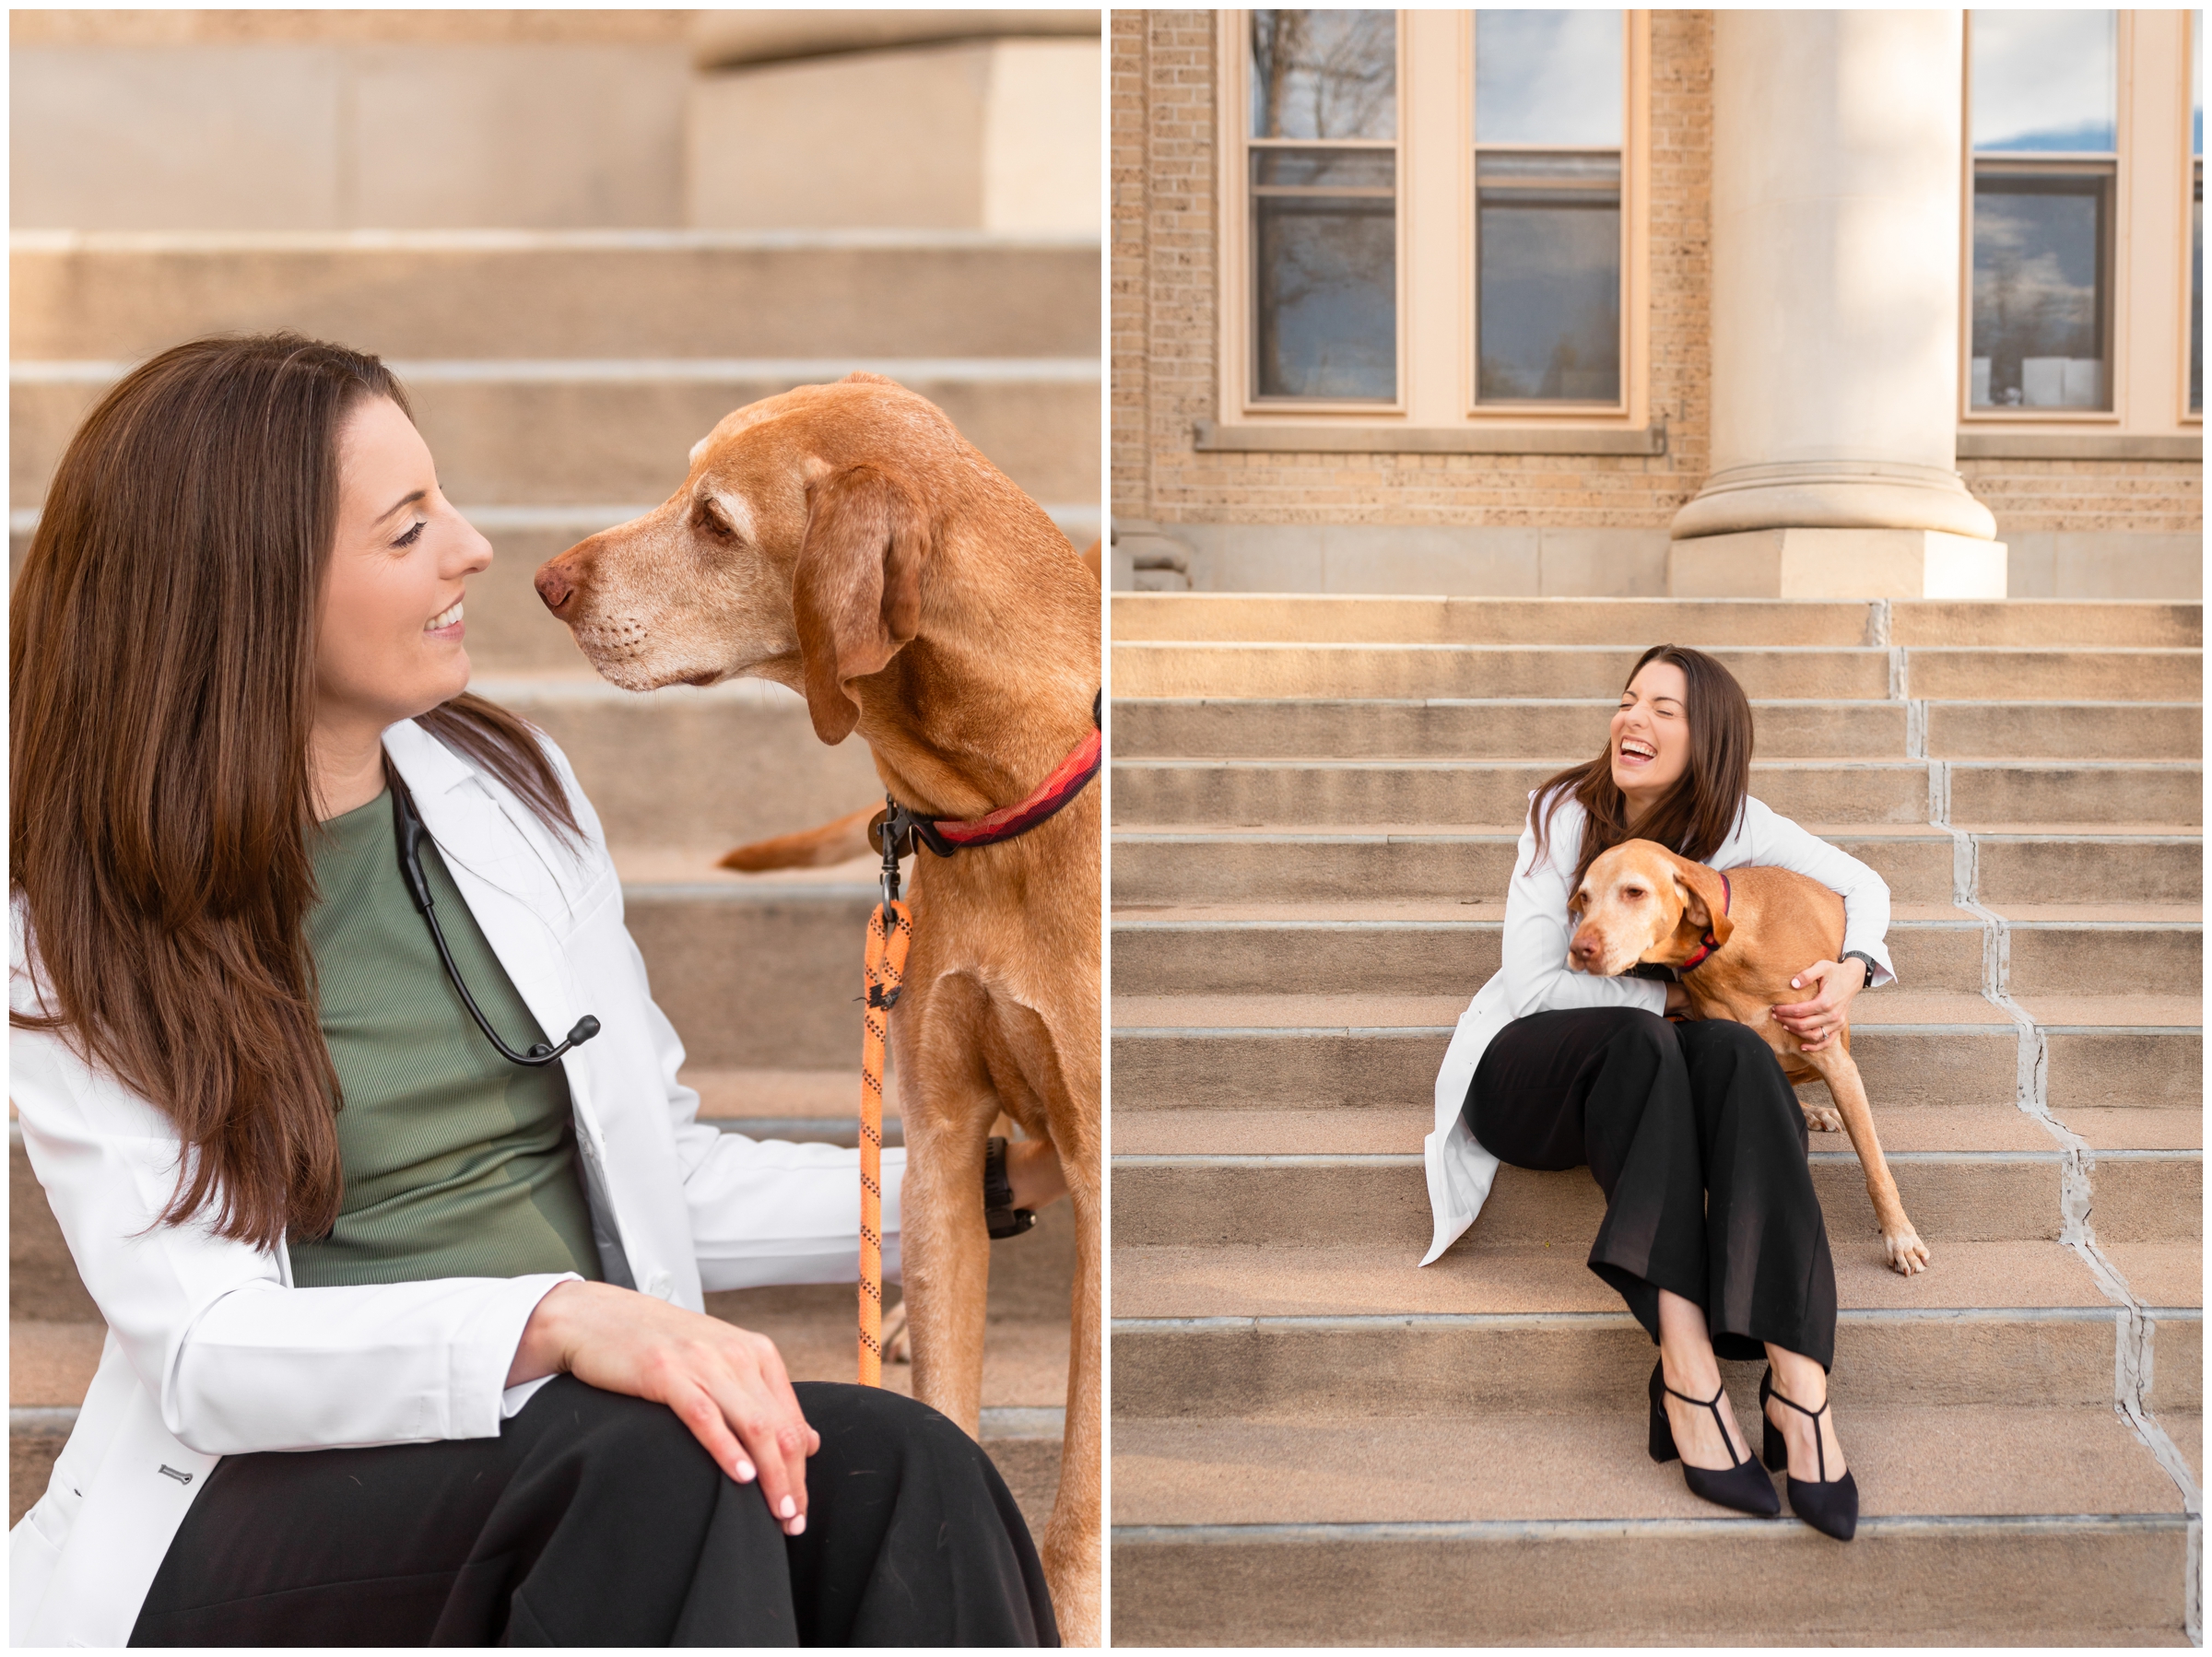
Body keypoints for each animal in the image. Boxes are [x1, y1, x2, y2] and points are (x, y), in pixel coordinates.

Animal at [526, 371, 1097, 1628]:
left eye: (715, 523)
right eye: (683, 485)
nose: (547, 583)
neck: (1001, 790)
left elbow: (1082, 1499)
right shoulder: (942, 1147)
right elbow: (947, 1409)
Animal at [1574, 840, 1920, 1283]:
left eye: (1634, 892)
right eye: (1585, 897)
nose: (1579, 949)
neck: (1725, 951)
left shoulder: (1836, 1061)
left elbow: (1876, 1168)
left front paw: (1900, 1238)